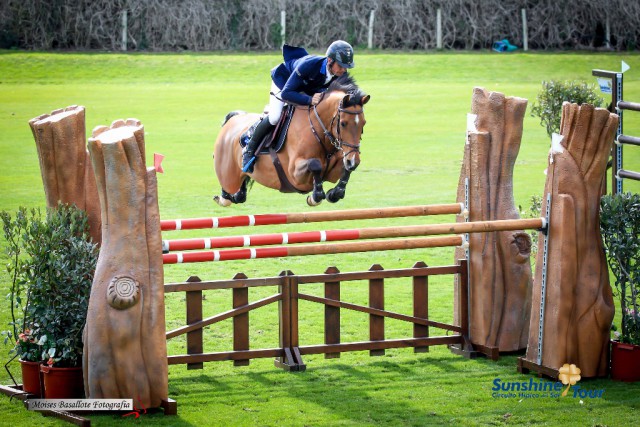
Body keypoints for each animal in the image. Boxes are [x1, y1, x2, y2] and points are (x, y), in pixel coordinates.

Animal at [212, 75, 368, 207]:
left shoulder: (332, 171)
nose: (353, 161)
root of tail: (232, 119)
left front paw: (335, 193)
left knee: (239, 195)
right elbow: (315, 164)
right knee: (227, 193)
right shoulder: (294, 174)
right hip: (228, 174)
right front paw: (316, 196)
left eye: (363, 124)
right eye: (343, 124)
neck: (316, 129)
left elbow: (344, 169)